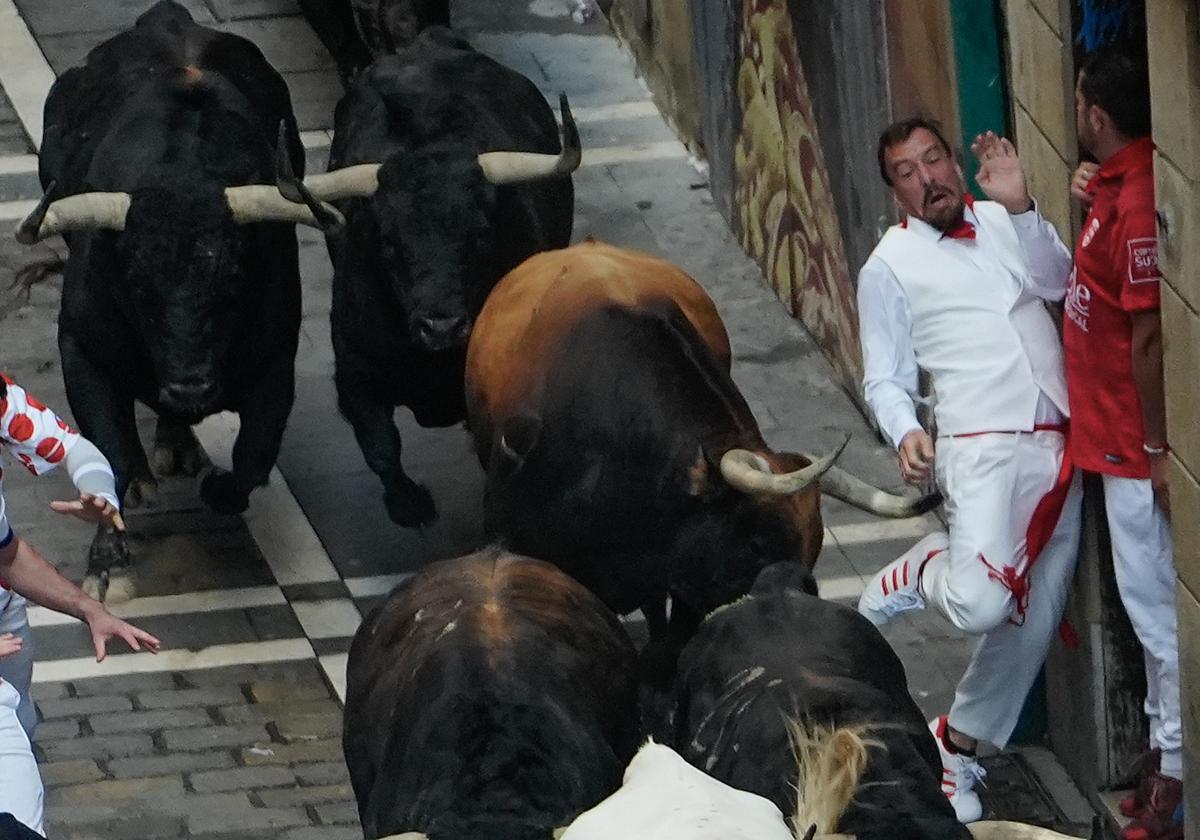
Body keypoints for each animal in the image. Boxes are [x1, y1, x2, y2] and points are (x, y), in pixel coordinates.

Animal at [16, 1, 340, 604]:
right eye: (136, 282)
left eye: (233, 279)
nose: (190, 387)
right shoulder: (82, 351)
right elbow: (112, 456)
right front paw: (108, 566)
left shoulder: (274, 360)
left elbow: (253, 457)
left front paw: (216, 487)